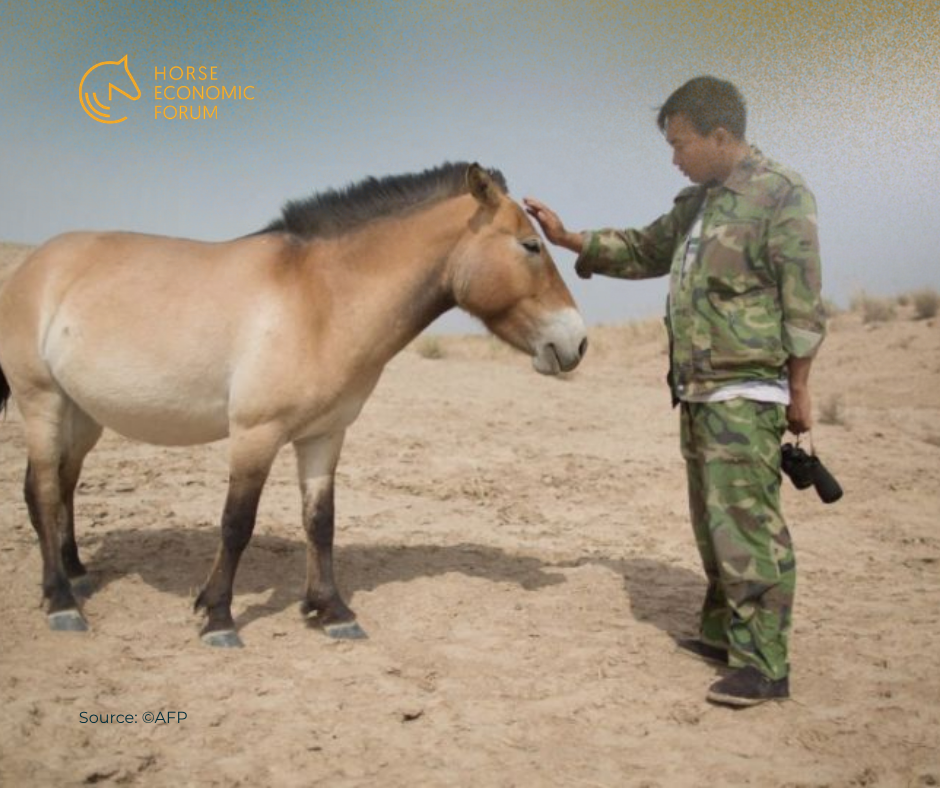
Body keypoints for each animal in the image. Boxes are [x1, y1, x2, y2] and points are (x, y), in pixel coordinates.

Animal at [0, 162, 587, 647]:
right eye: (530, 246)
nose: (576, 342)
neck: (320, 299)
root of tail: (35, 265)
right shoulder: (255, 434)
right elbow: (237, 524)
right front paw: (217, 617)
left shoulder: (324, 435)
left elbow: (321, 521)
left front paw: (331, 611)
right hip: (42, 401)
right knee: (43, 491)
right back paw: (62, 602)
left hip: (83, 413)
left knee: (63, 485)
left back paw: (76, 575)